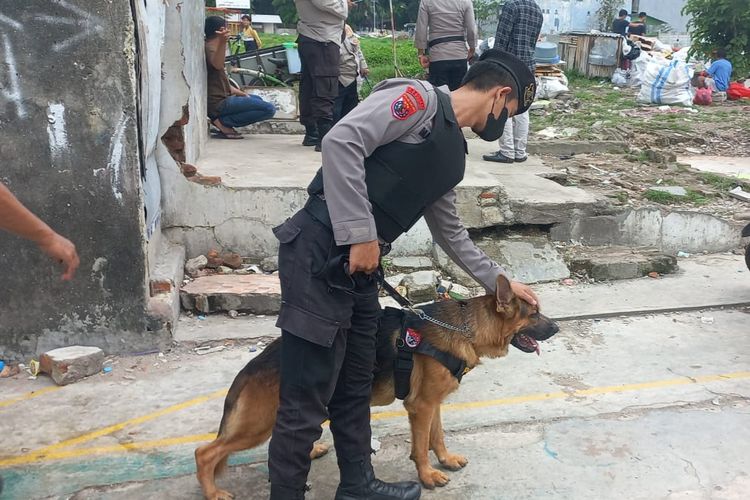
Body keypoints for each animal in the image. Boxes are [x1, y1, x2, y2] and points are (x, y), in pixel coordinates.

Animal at [197, 276, 560, 498]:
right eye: (534, 314)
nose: (557, 328)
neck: (467, 328)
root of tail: (253, 365)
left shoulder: (433, 404)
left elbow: (437, 436)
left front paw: (445, 460)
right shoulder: (420, 407)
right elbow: (421, 445)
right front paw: (427, 476)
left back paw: (311, 450)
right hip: (256, 425)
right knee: (206, 453)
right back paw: (213, 492)